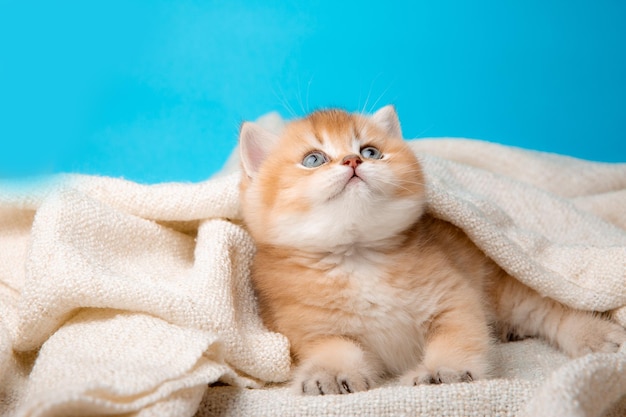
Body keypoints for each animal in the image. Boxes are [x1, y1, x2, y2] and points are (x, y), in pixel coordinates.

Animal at [235, 105, 624, 394]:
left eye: (370, 152)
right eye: (313, 159)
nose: (353, 161)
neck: (359, 257)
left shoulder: (454, 297)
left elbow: (458, 335)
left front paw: (445, 369)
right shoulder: (307, 327)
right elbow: (333, 348)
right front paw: (330, 374)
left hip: (504, 284)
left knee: (549, 309)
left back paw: (597, 336)